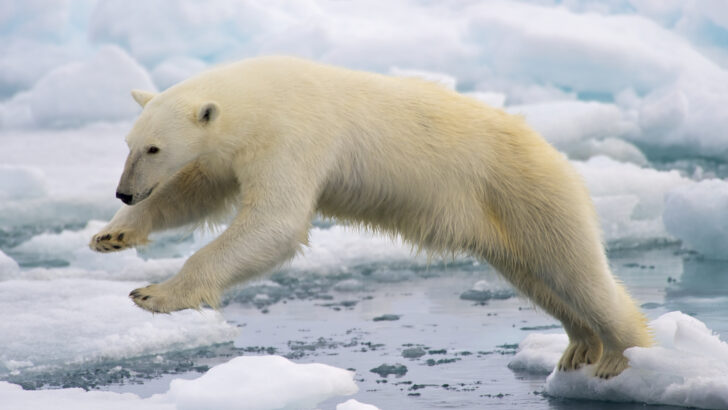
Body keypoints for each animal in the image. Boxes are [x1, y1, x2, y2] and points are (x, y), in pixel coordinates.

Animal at [90, 56, 651, 379]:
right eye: (129, 143)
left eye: (154, 147)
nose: (123, 191)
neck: (260, 96)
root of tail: (553, 152)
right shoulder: (233, 151)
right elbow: (196, 191)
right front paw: (112, 235)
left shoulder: (293, 135)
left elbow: (275, 221)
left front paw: (154, 294)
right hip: (502, 220)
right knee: (538, 277)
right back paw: (579, 346)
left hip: (525, 191)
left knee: (575, 270)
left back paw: (621, 355)